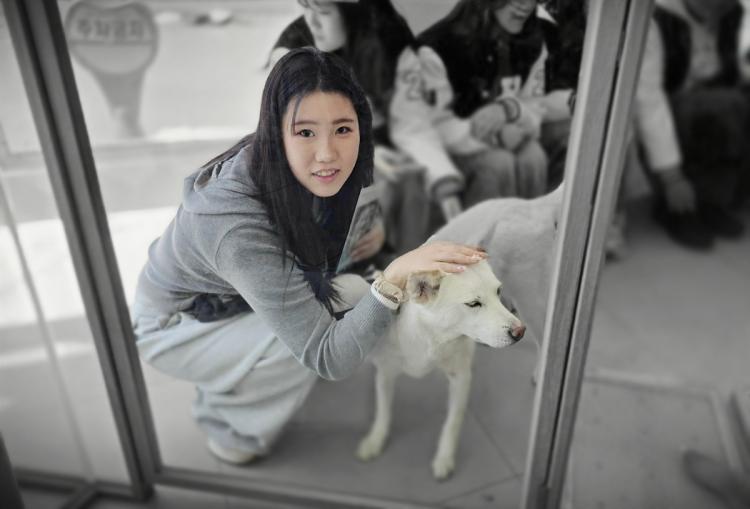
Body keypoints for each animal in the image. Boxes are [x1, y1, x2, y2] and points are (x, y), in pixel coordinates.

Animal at [355, 260, 525, 480]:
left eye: (498, 291)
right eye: (473, 304)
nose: (520, 332)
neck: (432, 338)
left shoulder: (460, 377)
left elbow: (453, 422)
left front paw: (444, 458)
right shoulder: (385, 373)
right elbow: (383, 411)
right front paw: (375, 440)